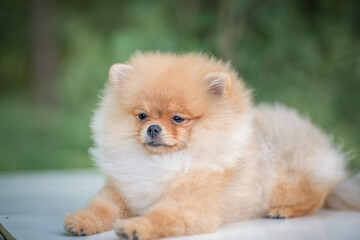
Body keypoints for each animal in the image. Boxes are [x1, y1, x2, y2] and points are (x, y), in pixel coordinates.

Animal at [64, 52, 360, 238]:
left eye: (178, 118)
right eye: (142, 116)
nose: (153, 129)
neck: (162, 163)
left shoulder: (191, 202)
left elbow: (162, 215)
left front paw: (136, 227)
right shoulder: (123, 190)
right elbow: (103, 207)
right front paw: (81, 221)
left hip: (290, 179)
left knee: (318, 195)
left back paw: (283, 211)